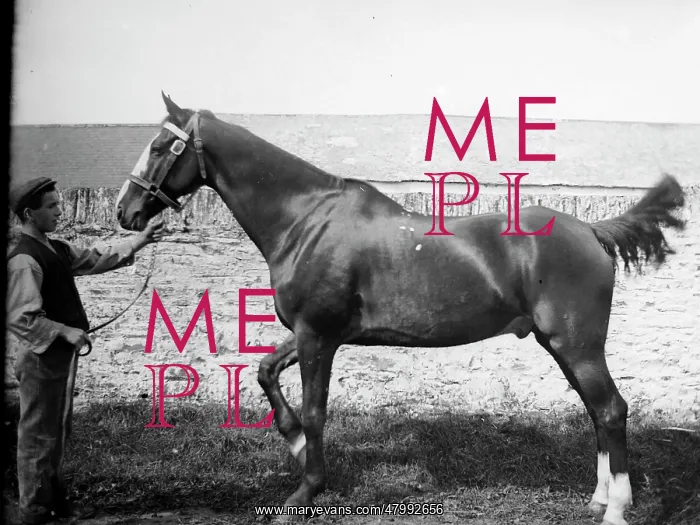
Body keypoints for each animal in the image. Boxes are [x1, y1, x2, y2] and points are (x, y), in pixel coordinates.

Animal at [115, 92, 686, 525]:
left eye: (161, 145)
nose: (126, 210)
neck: (306, 219)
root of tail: (589, 229)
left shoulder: (317, 336)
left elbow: (317, 411)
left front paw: (305, 492)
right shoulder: (313, 333)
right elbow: (265, 372)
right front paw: (295, 445)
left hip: (577, 344)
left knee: (611, 410)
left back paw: (616, 510)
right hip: (562, 345)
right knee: (597, 413)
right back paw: (598, 499)